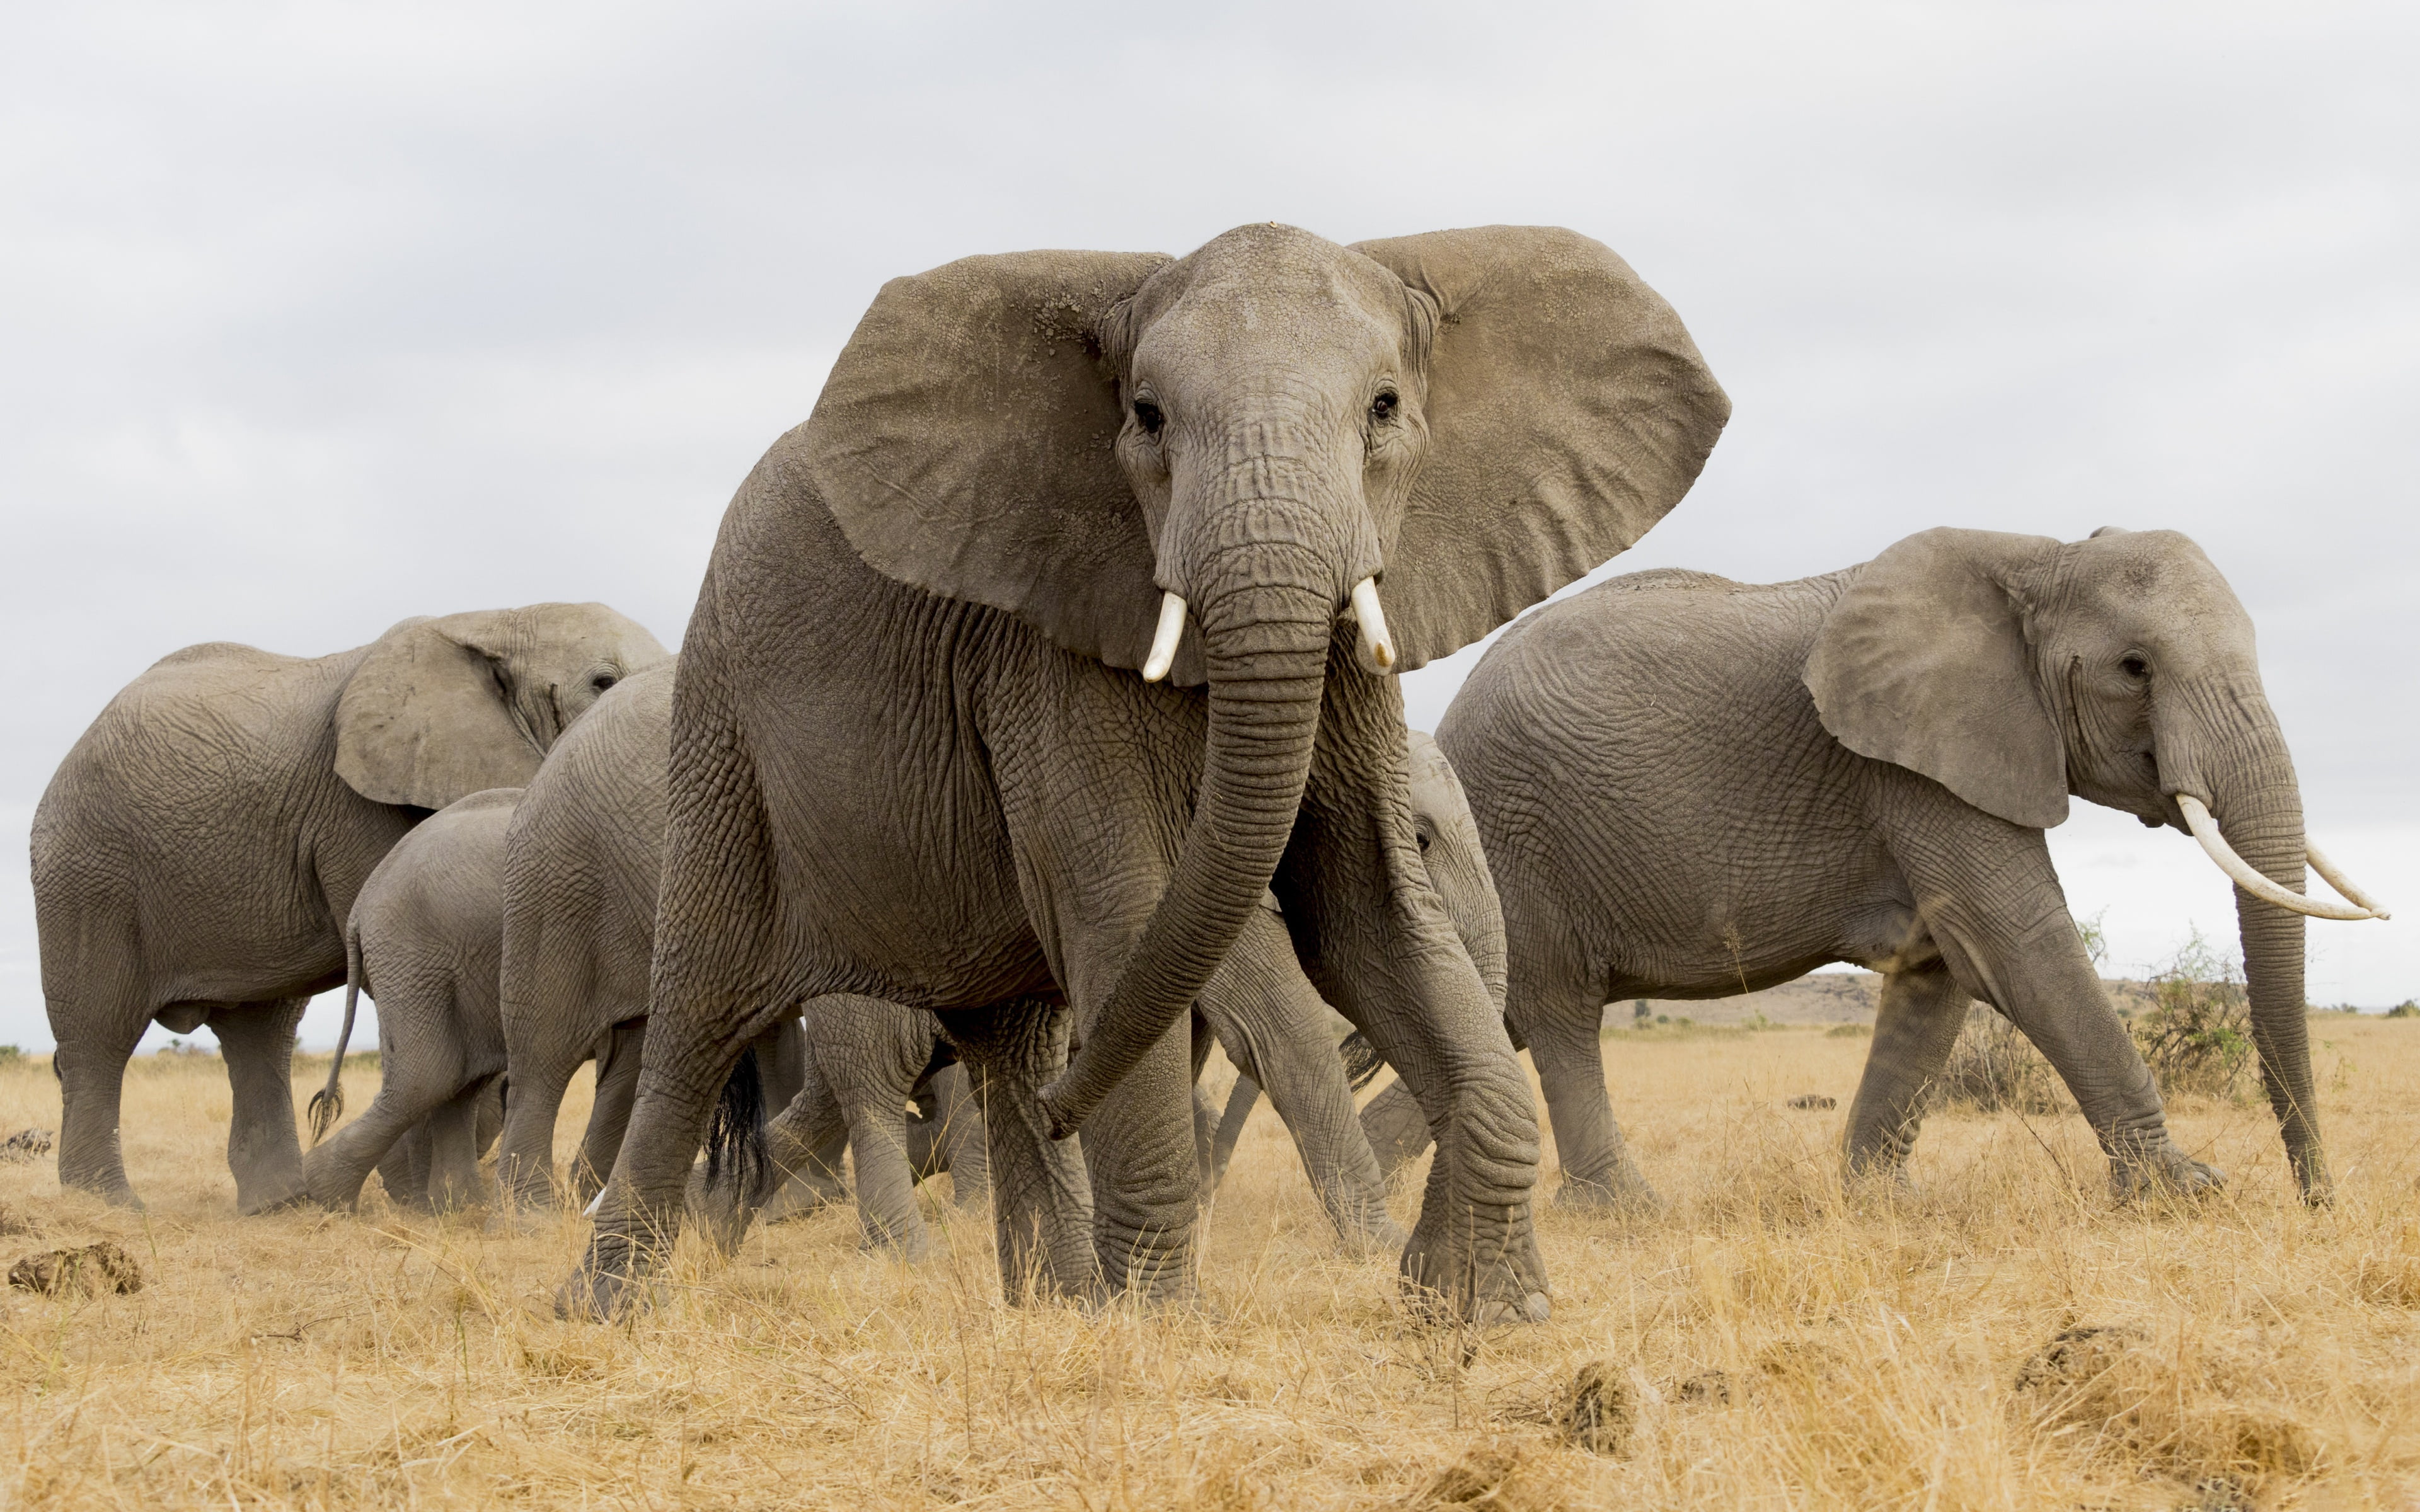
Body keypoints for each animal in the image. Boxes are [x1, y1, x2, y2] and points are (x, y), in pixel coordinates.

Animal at [31, 602, 669, 1213]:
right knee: (98, 1029)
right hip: (85, 870)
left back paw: (279, 1204)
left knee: (261, 1031)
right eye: (602, 681)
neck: (497, 619)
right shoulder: (357, 807)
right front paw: (415, 1197)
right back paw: (111, 1203)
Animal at [560, 221, 1727, 1323]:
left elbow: (1371, 914)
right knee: (699, 1018)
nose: (1072, 1110)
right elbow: (1130, 916)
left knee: (1014, 1042)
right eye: (1150, 417)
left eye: (1386, 408)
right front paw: (1161, 1320)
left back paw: (1051, 1292)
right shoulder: (1048, 657)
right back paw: (608, 1306)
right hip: (724, 731)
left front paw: (1482, 1305)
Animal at [1383, 528, 2385, 1208]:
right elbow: (2017, 941)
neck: (2037, 555)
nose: (2318, 1204)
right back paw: (1624, 1213)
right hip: (1515, 835)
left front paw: (1877, 1203)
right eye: (2135, 667)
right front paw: (2187, 1192)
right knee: (1560, 1017)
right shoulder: (1914, 766)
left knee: (1508, 1019)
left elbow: (1940, 969)